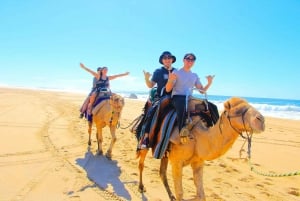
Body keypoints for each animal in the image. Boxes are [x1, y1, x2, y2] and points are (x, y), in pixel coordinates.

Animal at [136, 96, 264, 200]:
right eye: (238, 110)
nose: (261, 120)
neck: (197, 136)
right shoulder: (177, 161)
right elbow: (180, 194)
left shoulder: (198, 161)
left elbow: (201, 195)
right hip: (145, 143)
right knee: (141, 163)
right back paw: (141, 187)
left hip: (164, 152)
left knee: (162, 172)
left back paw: (170, 196)